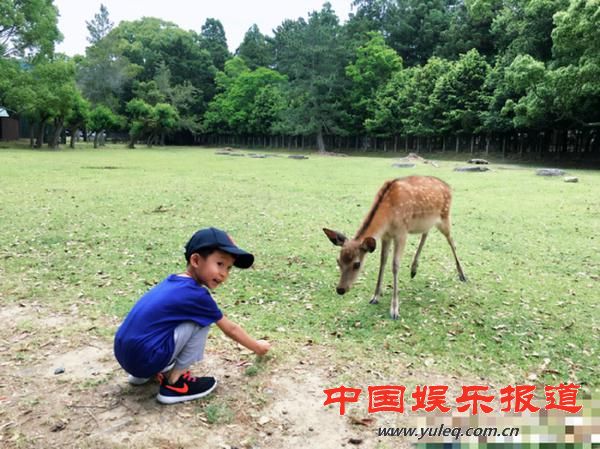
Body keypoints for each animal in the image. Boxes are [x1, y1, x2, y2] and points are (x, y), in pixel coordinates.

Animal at [326, 175, 466, 318]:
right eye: (338, 261)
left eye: (357, 264)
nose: (340, 289)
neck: (388, 217)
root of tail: (449, 187)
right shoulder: (386, 236)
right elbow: (382, 262)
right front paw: (375, 297)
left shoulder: (401, 233)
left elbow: (395, 265)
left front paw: (394, 310)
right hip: (426, 221)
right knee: (426, 233)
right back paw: (413, 269)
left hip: (444, 216)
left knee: (451, 241)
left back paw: (462, 275)